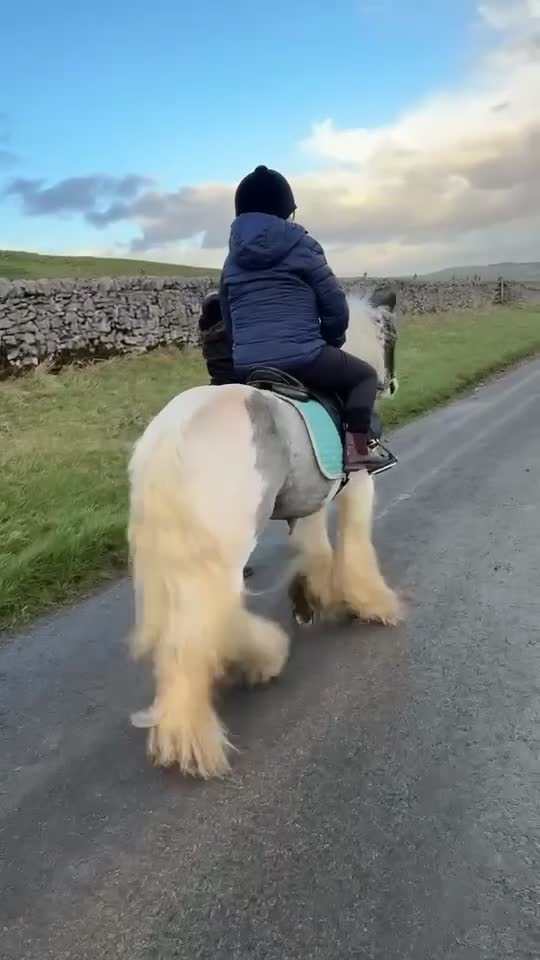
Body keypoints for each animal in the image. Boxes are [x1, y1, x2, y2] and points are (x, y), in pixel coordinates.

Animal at [127, 286, 403, 779]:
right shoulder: (358, 484)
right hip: (224, 548)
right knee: (202, 625)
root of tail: (171, 434)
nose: (392, 384)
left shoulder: (310, 495)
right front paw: (369, 602)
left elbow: (312, 546)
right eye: (390, 335)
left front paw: (313, 596)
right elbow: (352, 541)